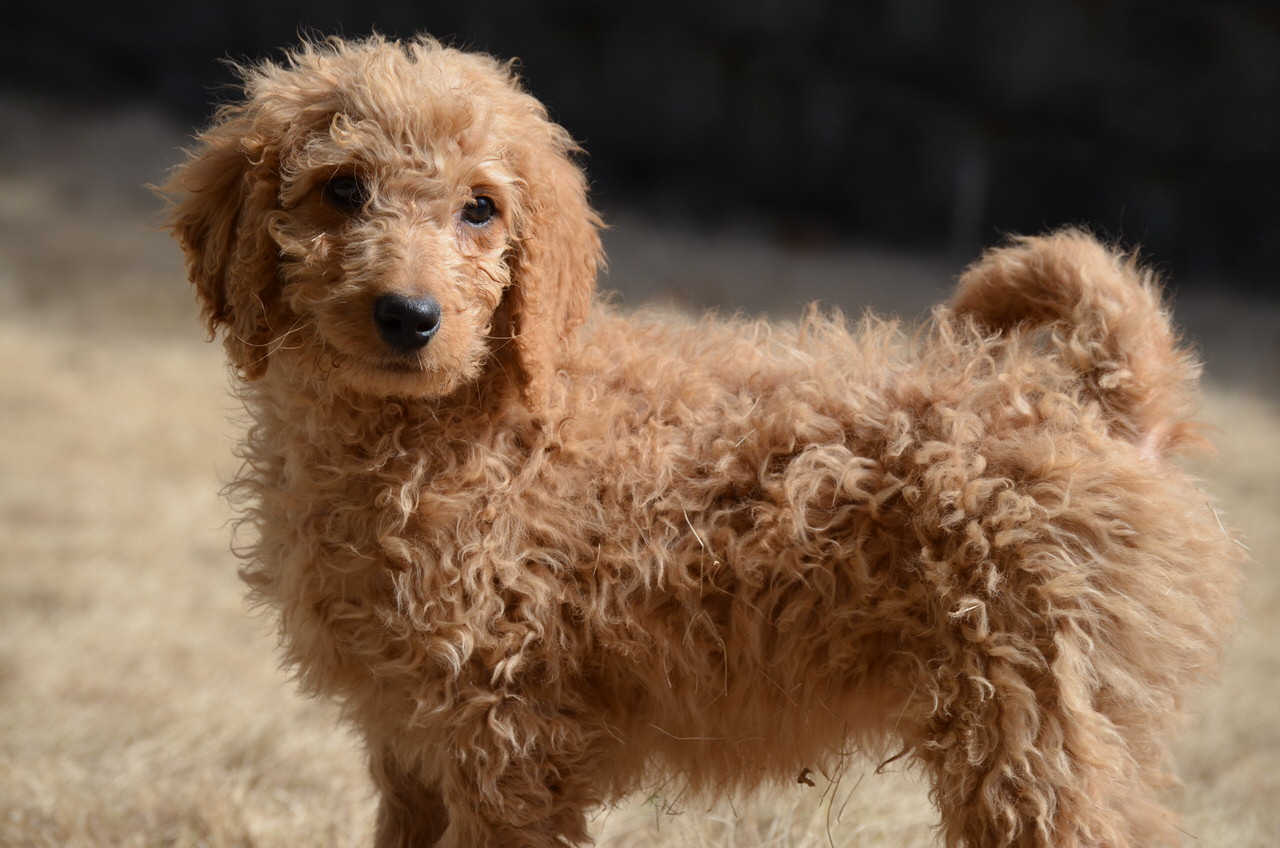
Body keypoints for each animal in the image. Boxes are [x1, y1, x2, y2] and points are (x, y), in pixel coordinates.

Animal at [160, 34, 1239, 848]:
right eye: (341, 189)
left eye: (480, 208)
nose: (408, 316)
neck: (461, 431)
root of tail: (1092, 400)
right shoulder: (412, 740)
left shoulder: (506, 735)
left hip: (1032, 725)